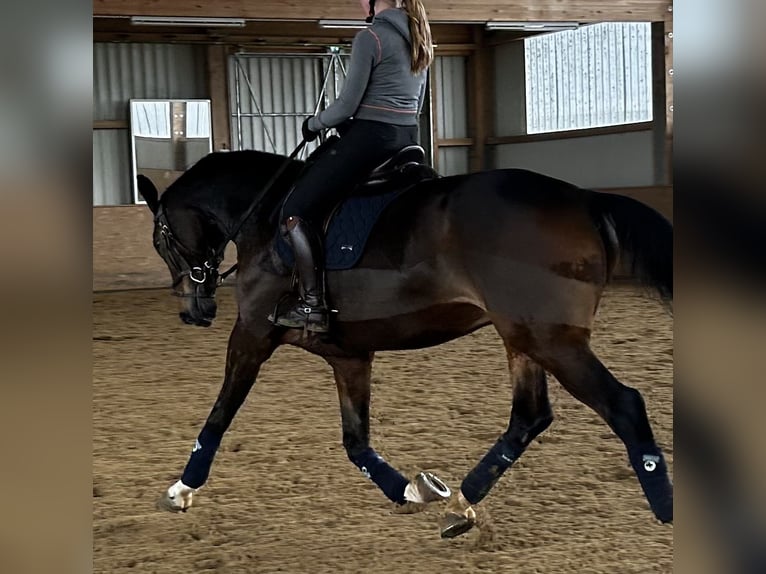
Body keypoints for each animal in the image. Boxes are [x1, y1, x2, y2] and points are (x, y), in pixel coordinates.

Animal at [138, 150, 672, 540]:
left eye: (160, 240)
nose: (194, 311)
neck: (265, 219)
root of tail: (583, 199)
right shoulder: (348, 355)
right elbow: (356, 442)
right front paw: (415, 491)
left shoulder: (251, 335)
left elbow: (220, 414)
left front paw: (181, 489)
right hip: (523, 338)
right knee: (529, 417)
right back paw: (460, 504)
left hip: (552, 339)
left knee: (624, 405)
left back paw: (666, 509)